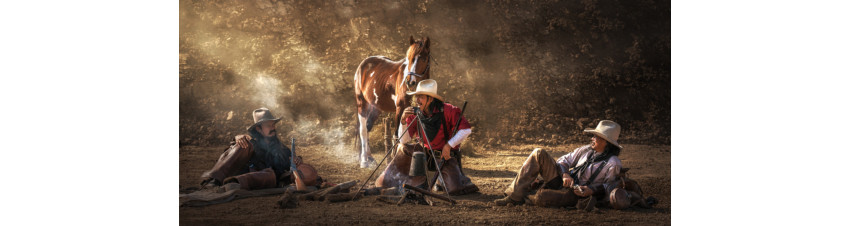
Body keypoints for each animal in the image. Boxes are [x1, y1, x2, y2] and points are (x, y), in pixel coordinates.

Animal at [352, 35, 430, 168]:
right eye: (409, 58)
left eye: (424, 59)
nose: (410, 82)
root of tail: (363, 64)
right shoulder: (400, 108)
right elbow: (397, 135)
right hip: (362, 103)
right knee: (363, 130)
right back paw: (364, 161)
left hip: (375, 107)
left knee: (367, 127)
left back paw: (370, 158)